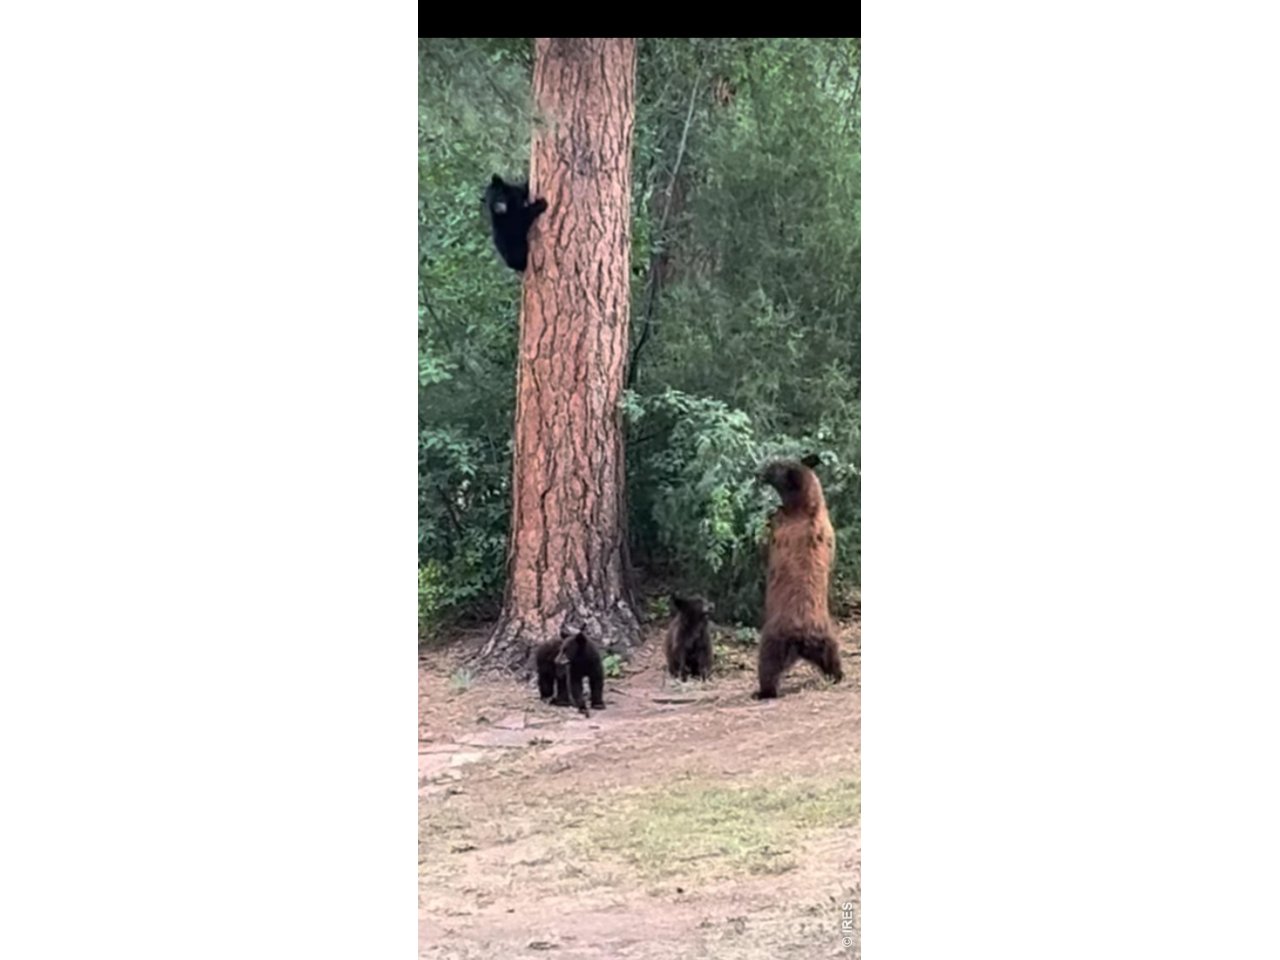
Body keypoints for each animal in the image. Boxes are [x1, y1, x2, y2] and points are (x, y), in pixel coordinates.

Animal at [755, 454, 843, 699]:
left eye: (774, 466)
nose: (759, 472)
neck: (807, 508)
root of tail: (803, 638)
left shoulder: (783, 527)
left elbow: (771, 532)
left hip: (775, 637)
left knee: (768, 664)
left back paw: (764, 691)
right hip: (826, 636)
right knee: (831, 656)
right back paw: (838, 675)